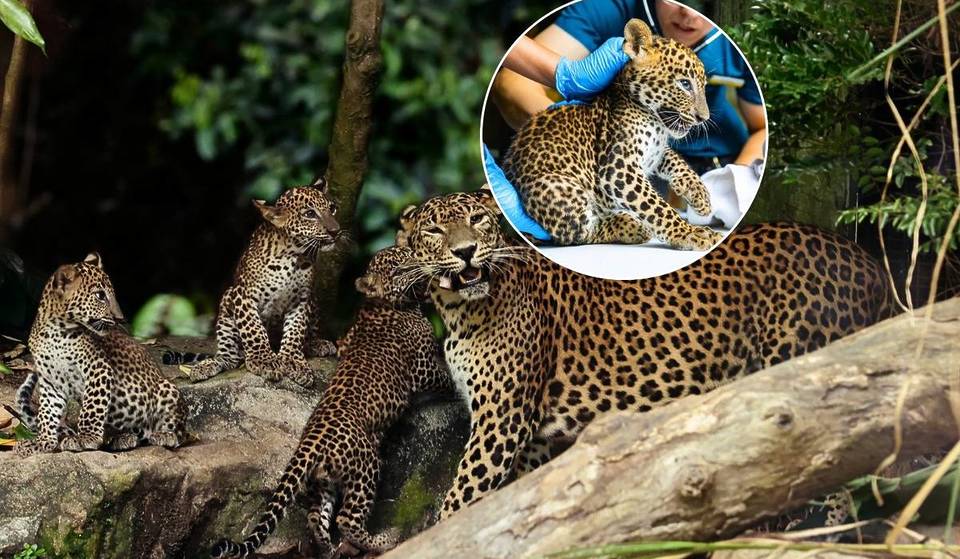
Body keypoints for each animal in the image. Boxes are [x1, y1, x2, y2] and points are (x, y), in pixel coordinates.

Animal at [15, 253, 185, 456]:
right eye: (100, 296)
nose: (120, 318)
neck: (55, 331)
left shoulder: (98, 368)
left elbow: (92, 407)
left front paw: (85, 438)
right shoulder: (51, 381)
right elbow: (47, 414)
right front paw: (42, 443)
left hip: (167, 390)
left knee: (179, 431)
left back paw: (164, 435)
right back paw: (122, 438)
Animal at [182, 179, 341, 387]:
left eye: (332, 209)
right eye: (310, 214)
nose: (336, 231)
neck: (294, 256)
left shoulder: (302, 299)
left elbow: (296, 331)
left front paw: (293, 361)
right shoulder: (243, 296)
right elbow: (254, 329)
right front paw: (264, 361)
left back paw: (317, 344)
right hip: (226, 303)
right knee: (229, 358)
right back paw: (205, 367)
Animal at [211, 245, 451, 559]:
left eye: (409, 254)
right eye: (399, 268)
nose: (421, 264)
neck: (381, 304)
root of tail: (311, 441)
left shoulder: (344, 342)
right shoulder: (423, 368)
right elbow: (444, 377)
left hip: (322, 482)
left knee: (317, 518)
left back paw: (329, 549)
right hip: (366, 468)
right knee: (347, 519)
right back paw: (384, 541)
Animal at [395, 188, 891, 519]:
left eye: (478, 219)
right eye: (434, 230)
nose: (465, 251)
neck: (460, 311)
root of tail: (863, 258)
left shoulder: (501, 422)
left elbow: (460, 500)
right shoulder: (530, 436)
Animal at [502, 18, 722, 250]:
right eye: (685, 84)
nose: (703, 118)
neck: (656, 123)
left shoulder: (655, 152)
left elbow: (676, 160)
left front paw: (700, 196)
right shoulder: (618, 167)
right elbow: (656, 208)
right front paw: (689, 233)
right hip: (556, 187)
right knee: (578, 234)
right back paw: (631, 226)